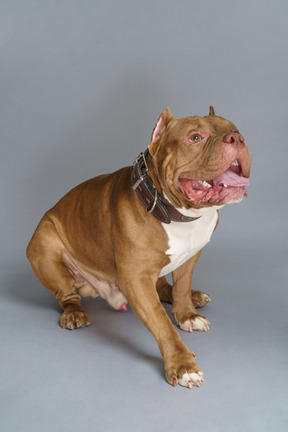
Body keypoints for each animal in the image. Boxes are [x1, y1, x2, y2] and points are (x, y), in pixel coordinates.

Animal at [27, 107, 252, 388]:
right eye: (195, 138)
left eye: (234, 128)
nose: (236, 137)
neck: (175, 212)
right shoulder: (135, 279)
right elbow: (161, 321)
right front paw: (183, 364)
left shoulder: (190, 257)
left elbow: (181, 287)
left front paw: (187, 314)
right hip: (45, 242)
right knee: (66, 294)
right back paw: (74, 313)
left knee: (164, 285)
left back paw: (194, 297)